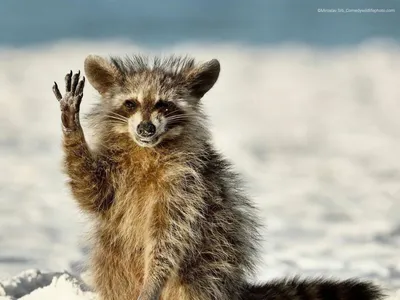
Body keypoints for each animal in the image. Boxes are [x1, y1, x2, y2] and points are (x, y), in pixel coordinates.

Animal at [51, 54, 382, 300]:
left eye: (164, 105)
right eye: (130, 103)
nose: (146, 128)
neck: (148, 150)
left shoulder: (186, 186)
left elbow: (168, 237)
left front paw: (154, 279)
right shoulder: (115, 173)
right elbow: (90, 191)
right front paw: (71, 126)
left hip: (208, 266)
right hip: (113, 264)